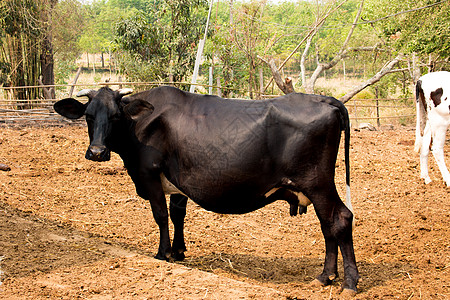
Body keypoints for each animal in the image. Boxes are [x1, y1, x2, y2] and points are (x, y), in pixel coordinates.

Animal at [54, 85, 360, 294]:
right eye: (88, 116)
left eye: (116, 116)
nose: (97, 152)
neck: (140, 126)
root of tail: (323, 98)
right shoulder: (178, 181)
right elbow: (177, 215)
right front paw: (178, 251)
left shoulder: (149, 175)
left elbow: (160, 216)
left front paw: (162, 254)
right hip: (316, 187)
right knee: (327, 225)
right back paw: (326, 277)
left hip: (317, 183)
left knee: (340, 219)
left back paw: (347, 282)